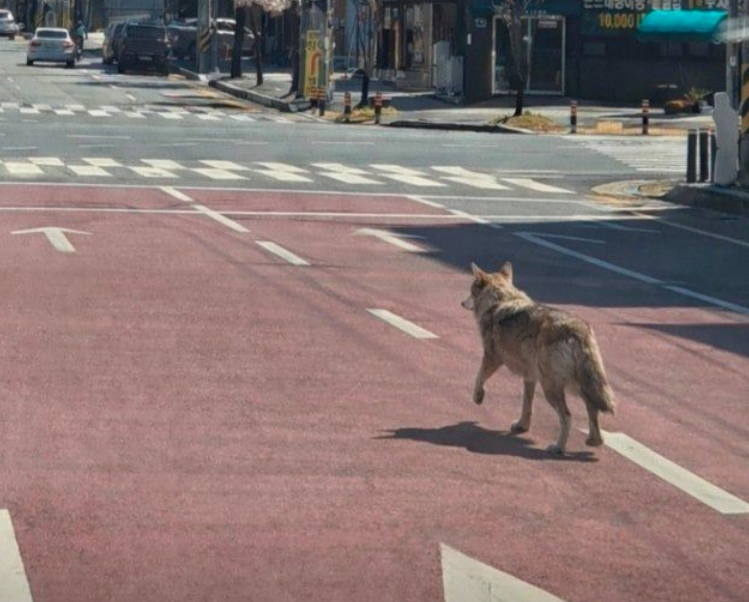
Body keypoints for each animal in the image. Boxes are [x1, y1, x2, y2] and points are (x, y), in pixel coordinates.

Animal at [462, 261, 615, 454]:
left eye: (471, 291)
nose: (461, 302)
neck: (500, 300)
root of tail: (579, 330)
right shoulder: (529, 377)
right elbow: (527, 406)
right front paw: (522, 426)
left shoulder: (492, 358)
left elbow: (478, 378)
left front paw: (478, 397)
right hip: (577, 385)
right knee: (592, 408)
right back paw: (594, 441)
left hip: (551, 388)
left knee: (567, 417)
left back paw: (558, 447)